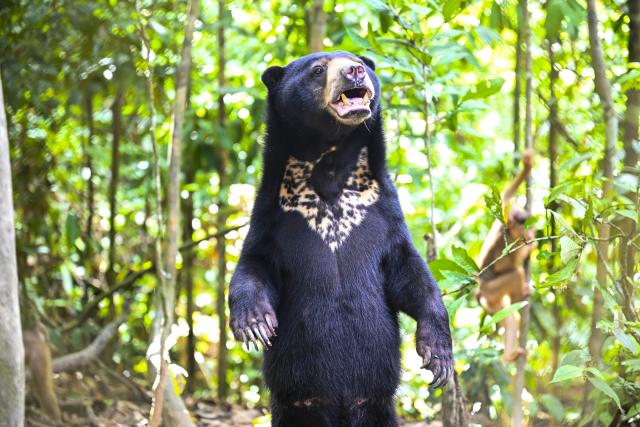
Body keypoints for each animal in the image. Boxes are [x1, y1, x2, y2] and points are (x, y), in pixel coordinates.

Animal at [229, 51, 453, 427]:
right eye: (318, 70)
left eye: (354, 60)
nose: (355, 70)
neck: (330, 166)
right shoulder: (272, 217)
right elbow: (255, 264)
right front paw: (254, 324)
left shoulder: (384, 213)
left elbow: (410, 274)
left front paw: (438, 356)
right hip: (296, 406)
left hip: (376, 405)